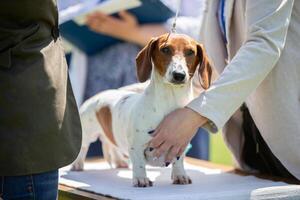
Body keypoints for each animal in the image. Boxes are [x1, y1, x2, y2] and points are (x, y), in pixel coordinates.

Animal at [71, 33, 212, 188]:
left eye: (191, 52)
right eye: (165, 49)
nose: (179, 75)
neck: (169, 101)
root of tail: (97, 96)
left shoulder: (179, 144)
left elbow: (178, 161)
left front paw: (180, 175)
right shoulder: (136, 146)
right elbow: (138, 163)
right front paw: (141, 179)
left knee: (111, 143)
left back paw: (119, 161)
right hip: (87, 132)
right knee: (83, 147)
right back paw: (77, 164)